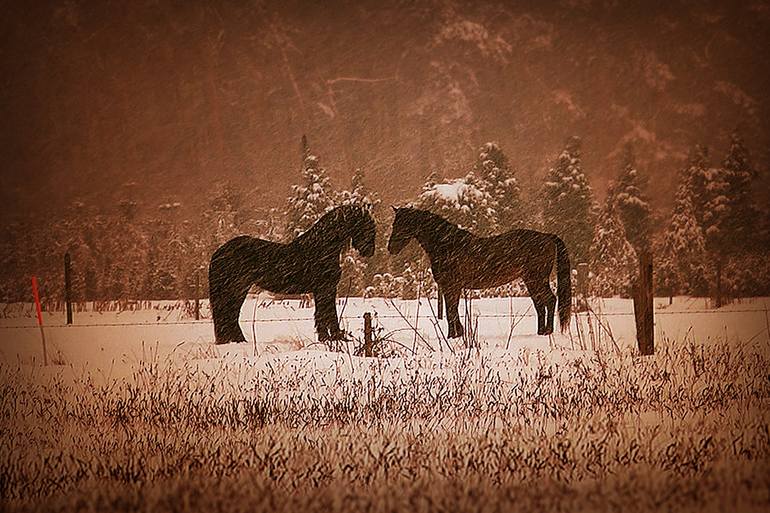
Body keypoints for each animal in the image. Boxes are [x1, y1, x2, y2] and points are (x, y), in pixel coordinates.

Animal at [207, 205, 376, 344]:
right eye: (367, 225)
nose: (370, 251)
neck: (322, 248)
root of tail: (219, 252)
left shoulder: (324, 290)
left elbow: (324, 314)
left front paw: (329, 338)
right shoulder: (325, 289)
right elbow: (327, 314)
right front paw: (333, 338)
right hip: (237, 289)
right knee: (229, 315)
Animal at [388, 206, 568, 338]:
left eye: (402, 224)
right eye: (394, 224)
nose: (391, 248)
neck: (446, 244)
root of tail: (547, 237)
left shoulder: (452, 286)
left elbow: (451, 311)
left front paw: (453, 336)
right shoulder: (448, 287)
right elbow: (451, 310)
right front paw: (456, 334)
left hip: (537, 279)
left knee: (550, 300)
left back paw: (548, 332)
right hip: (531, 280)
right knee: (540, 305)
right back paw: (540, 332)